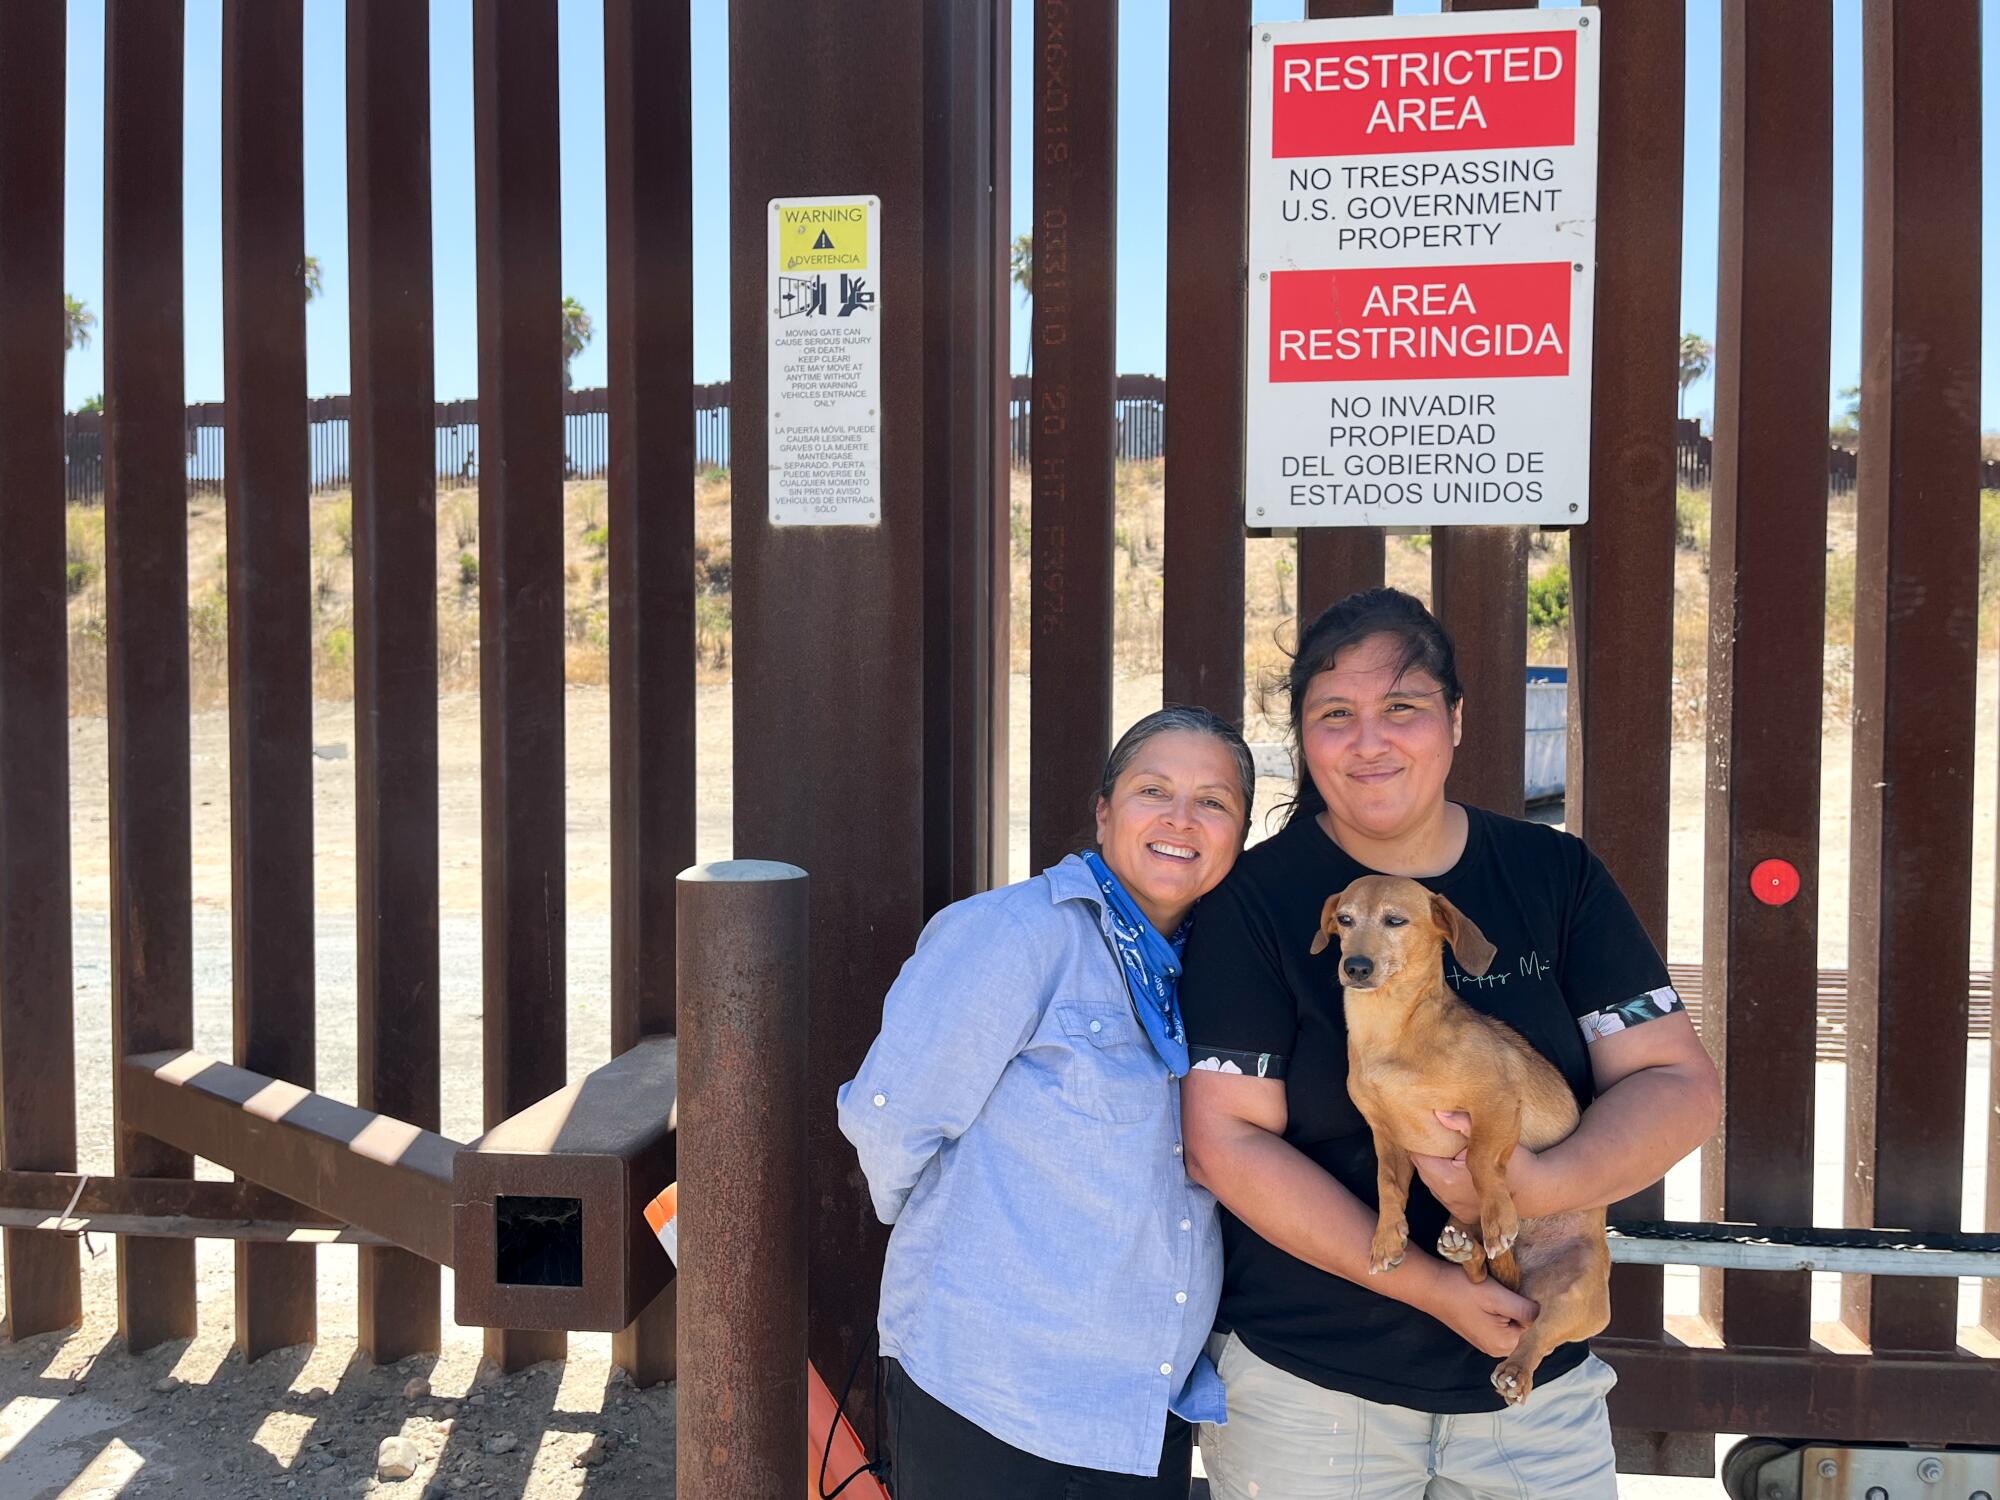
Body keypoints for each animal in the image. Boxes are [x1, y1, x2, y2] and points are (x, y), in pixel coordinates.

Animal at [1312, 876, 1608, 1408]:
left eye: (1395, 920)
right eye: (1344, 920)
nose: (1356, 967)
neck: (1391, 1031)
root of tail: (1523, 1287)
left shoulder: (1495, 1104)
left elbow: (1481, 1165)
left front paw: (1497, 1219)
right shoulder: (1388, 1137)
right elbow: (1389, 1186)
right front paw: (1387, 1237)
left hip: (1578, 1296)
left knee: (1540, 1335)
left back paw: (1516, 1368)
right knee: (1481, 1275)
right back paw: (1464, 1249)